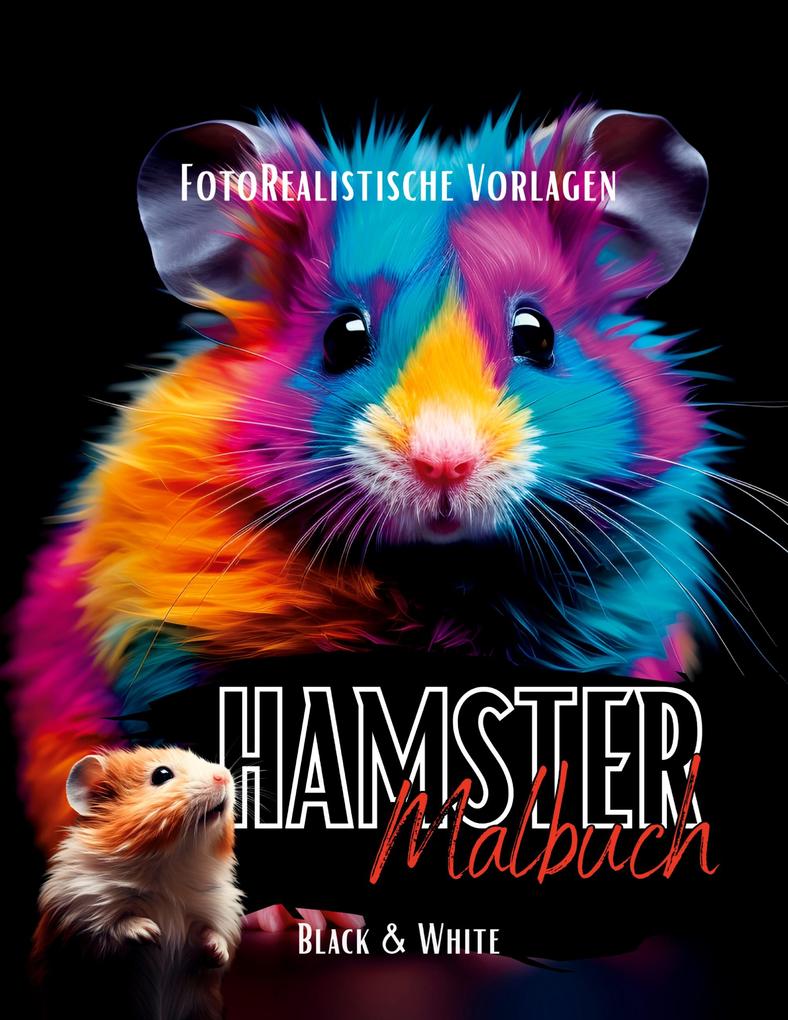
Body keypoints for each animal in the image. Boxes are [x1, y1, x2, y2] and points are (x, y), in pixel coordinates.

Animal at [33, 747, 243, 1020]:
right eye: (162, 774)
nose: (224, 776)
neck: (170, 866)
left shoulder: (219, 914)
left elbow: (214, 936)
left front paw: (216, 951)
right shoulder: (79, 916)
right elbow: (113, 926)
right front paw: (151, 932)